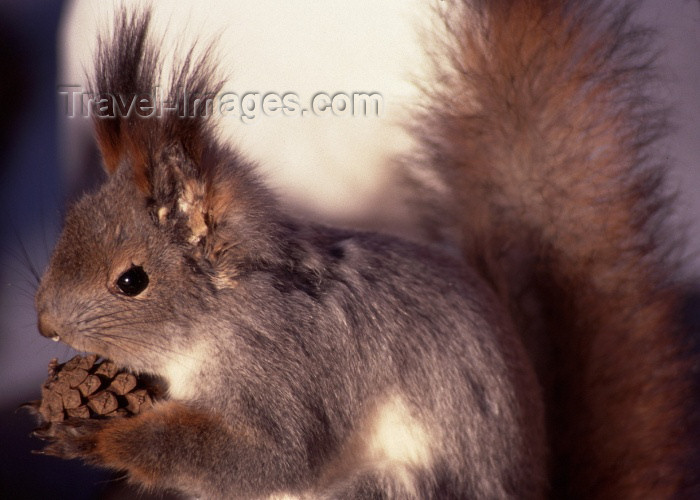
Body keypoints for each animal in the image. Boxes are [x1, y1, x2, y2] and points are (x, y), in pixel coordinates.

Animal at [31, 0, 696, 498]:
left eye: (131, 281)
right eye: (71, 222)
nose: (43, 324)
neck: (225, 311)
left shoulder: (291, 363)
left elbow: (271, 455)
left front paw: (99, 436)